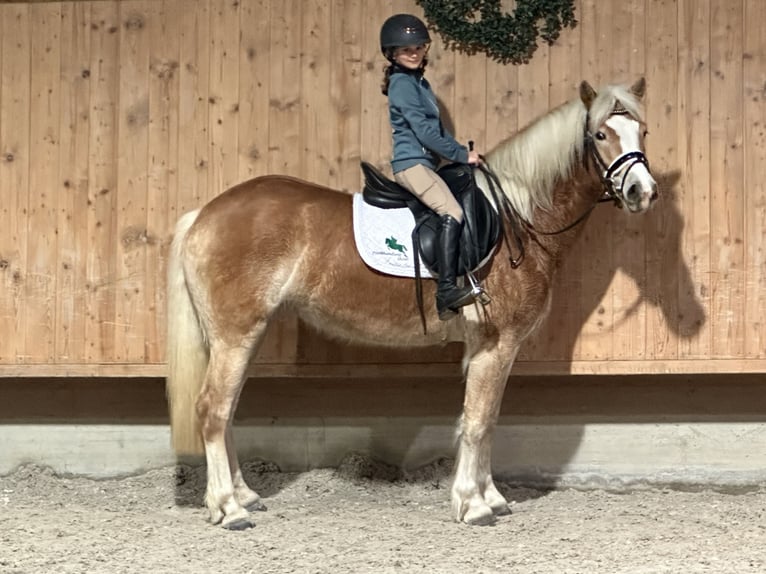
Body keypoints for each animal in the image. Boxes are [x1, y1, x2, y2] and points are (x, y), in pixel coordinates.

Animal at [166, 77, 660, 532]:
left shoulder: (488, 348)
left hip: (240, 337)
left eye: (643, 131)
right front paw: (474, 505)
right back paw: (228, 509)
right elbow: (479, 421)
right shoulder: (496, 344)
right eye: (600, 134)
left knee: (227, 411)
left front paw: (491, 498)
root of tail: (205, 214)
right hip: (235, 335)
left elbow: (486, 420)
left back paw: (244, 497)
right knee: (213, 409)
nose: (642, 191)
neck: (514, 218)